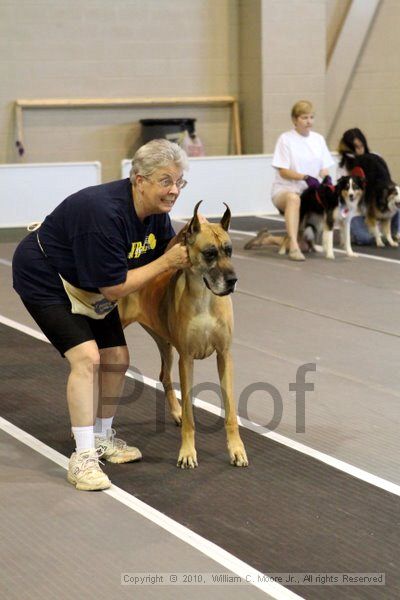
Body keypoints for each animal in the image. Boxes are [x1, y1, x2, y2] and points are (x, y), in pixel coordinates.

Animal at [118, 202, 247, 468]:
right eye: (210, 253)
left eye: (229, 250)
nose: (233, 280)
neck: (205, 297)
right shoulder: (186, 359)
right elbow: (190, 414)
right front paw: (187, 452)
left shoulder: (224, 355)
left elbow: (230, 410)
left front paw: (237, 449)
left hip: (164, 344)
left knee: (164, 376)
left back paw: (175, 411)